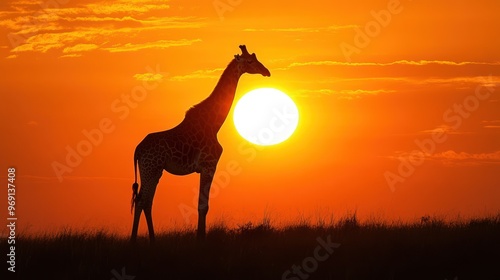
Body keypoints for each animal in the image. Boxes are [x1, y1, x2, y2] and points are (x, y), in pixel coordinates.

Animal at [129, 44, 270, 242]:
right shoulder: (209, 164)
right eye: (250, 61)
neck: (214, 123)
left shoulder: (205, 166)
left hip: (153, 171)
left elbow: (201, 205)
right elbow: (203, 205)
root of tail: (137, 150)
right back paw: (136, 241)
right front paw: (200, 240)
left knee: (145, 200)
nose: (266, 72)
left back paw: (151, 240)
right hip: (151, 168)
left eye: (256, 58)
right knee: (142, 200)